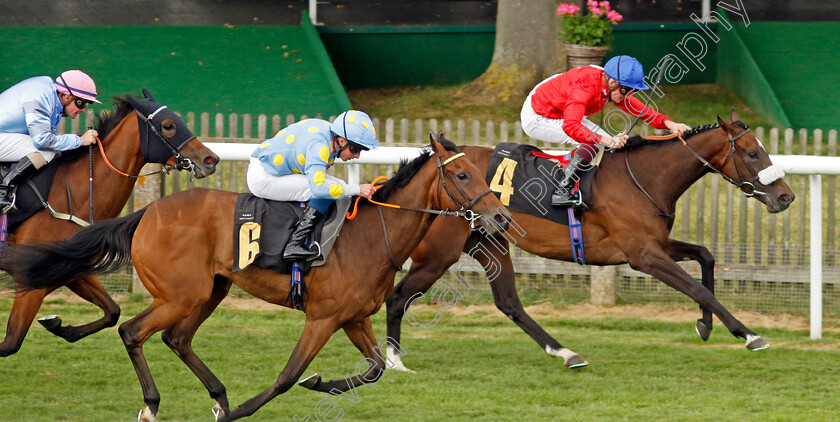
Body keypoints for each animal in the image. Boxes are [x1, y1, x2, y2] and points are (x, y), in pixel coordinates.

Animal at [0, 90, 220, 358]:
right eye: (169, 125)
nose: (211, 159)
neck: (74, 192)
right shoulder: (29, 279)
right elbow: (10, 343)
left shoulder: (71, 268)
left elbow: (113, 311)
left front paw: (60, 326)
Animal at [4, 135, 512, 422]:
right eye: (462, 175)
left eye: (479, 171)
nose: (502, 217)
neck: (373, 234)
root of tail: (146, 212)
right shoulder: (322, 319)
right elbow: (288, 377)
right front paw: (253, 408)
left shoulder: (354, 318)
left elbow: (373, 370)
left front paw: (321, 384)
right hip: (182, 294)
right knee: (132, 330)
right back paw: (154, 402)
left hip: (211, 290)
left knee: (175, 338)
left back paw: (218, 397)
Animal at [386, 111, 796, 370]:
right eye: (753, 152)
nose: (786, 197)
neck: (643, 177)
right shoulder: (642, 255)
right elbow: (698, 288)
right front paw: (749, 334)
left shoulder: (654, 245)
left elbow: (706, 256)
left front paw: (706, 325)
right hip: (440, 253)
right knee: (397, 297)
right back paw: (393, 361)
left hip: (490, 241)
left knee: (509, 302)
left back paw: (566, 353)